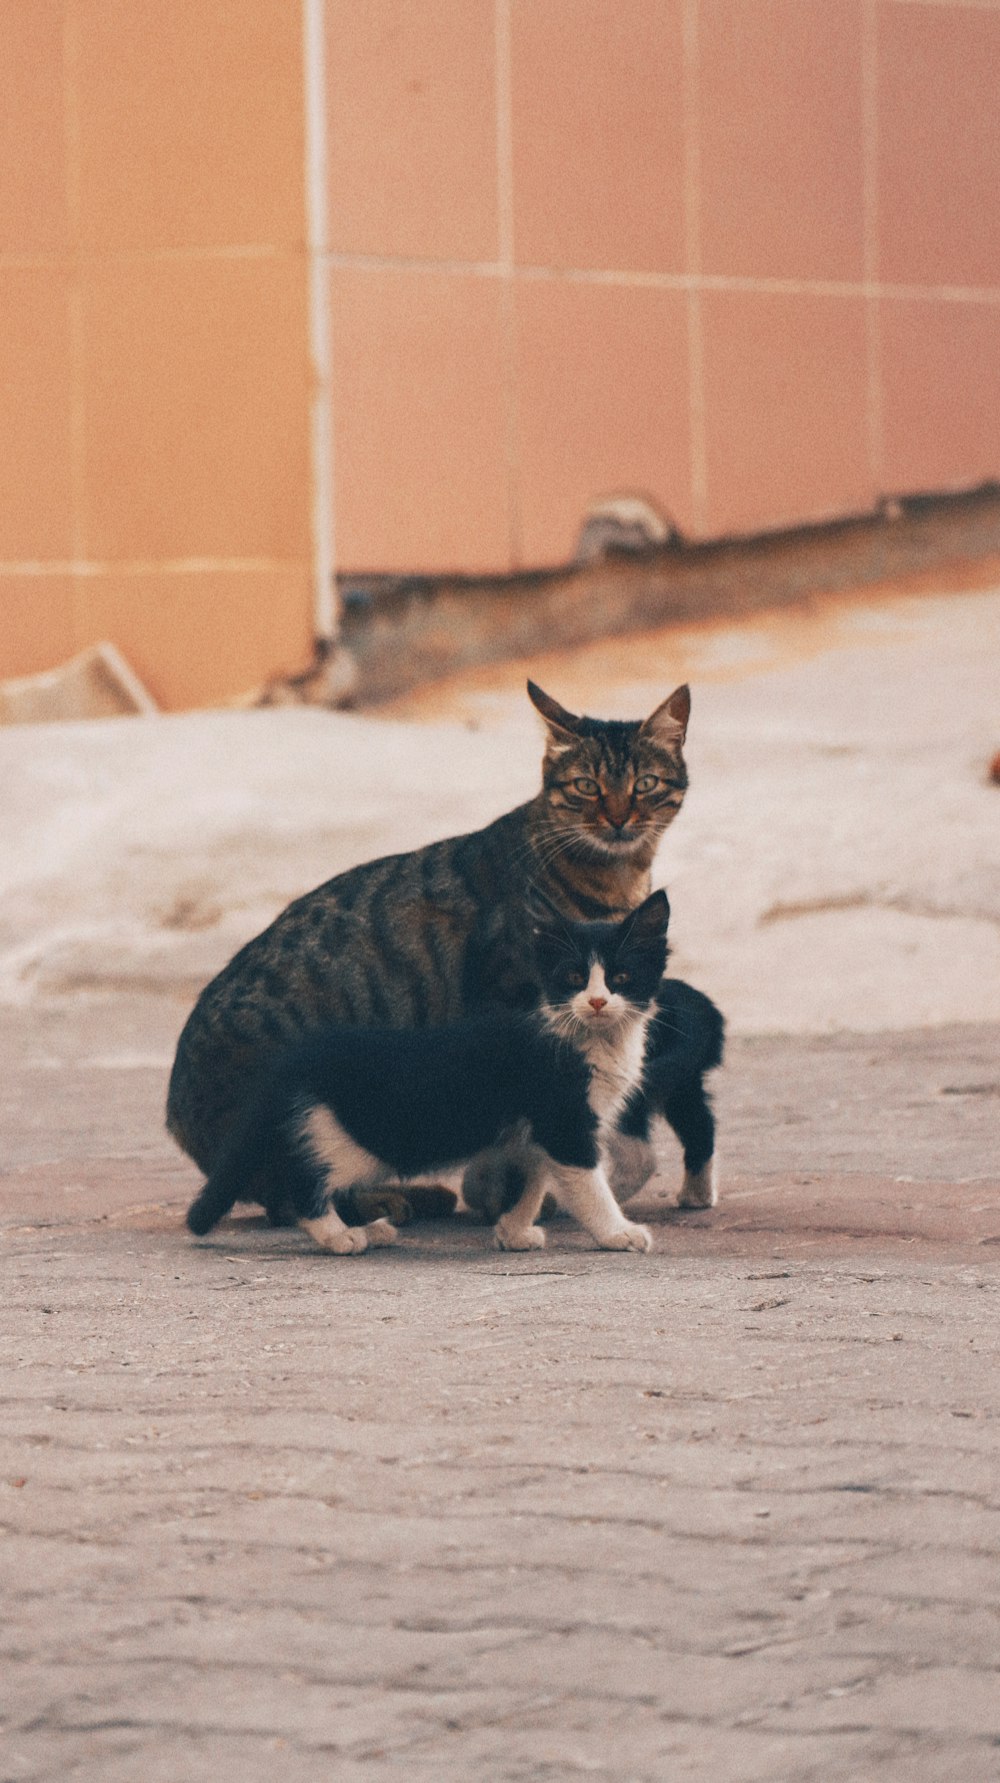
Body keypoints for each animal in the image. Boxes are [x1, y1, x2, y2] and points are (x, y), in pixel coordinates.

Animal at [167, 677, 720, 1212]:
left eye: (644, 784)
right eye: (587, 786)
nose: (619, 819)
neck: (614, 877)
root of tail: (177, 1115)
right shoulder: (511, 1001)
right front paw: (510, 1193)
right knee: (290, 1192)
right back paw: (386, 1203)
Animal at [187, 891, 670, 1255]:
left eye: (621, 977)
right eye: (572, 977)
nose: (597, 1002)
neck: (592, 1040)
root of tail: (296, 1056)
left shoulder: (535, 1130)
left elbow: (531, 1180)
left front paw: (512, 1232)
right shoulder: (563, 1119)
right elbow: (586, 1182)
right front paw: (618, 1233)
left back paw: (370, 1229)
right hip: (358, 1137)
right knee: (301, 1181)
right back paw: (341, 1237)